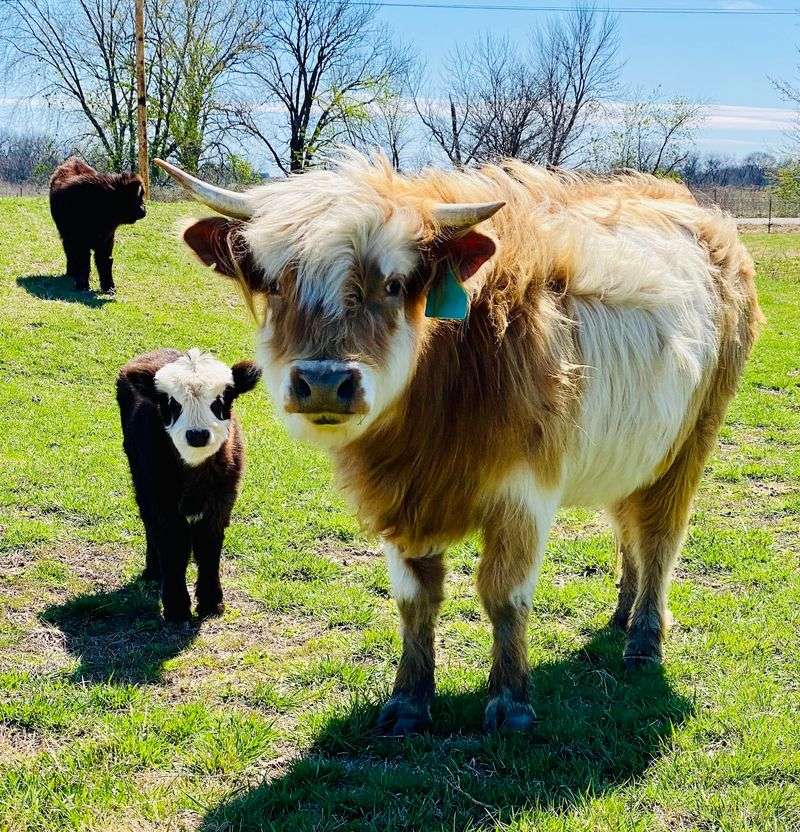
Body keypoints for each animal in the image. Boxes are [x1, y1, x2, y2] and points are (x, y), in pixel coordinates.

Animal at [49, 157, 147, 294]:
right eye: (136, 196)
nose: (144, 210)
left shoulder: (106, 240)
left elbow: (105, 260)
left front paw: (109, 287)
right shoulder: (79, 241)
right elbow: (84, 261)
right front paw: (82, 285)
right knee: (69, 252)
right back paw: (71, 273)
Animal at [116, 348, 261, 622]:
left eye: (221, 399)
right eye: (171, 402)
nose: (197, 434)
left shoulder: (223, 499)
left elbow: (208, 545)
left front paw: (211, 603)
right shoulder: (161, 498)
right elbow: (174, 545)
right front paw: (176, 608)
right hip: (139, 477)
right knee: (149, 524)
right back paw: (153, 571)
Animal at [155, 154, 761, 733]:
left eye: (394, 285)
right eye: (276, 283)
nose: (324, 382)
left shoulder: (524, 492)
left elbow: (504, 594)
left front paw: (510, 703)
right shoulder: (400, 500)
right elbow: (415, 598)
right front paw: (409, 701)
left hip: (689, 442)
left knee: (659, 537)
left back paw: (644, 639)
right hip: (633, 449)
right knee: (628, 523)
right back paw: (622, 612)